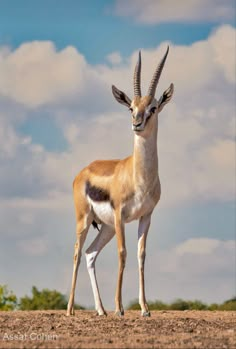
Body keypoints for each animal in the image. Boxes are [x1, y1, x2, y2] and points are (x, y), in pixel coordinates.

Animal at [66, 46, 173, 316]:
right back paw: (71, 309)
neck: (139, 178)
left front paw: (145, 308)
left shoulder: (145, 216)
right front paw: (120, 307)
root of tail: (83, 171)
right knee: (77, 253)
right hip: (86, 220)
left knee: (90, 254)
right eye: (130, 107)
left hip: (105, 227)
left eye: (153, 107)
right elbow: (122, 254)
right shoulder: (120, 215)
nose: (136, 123)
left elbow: (140, 255)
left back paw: (100, 310)